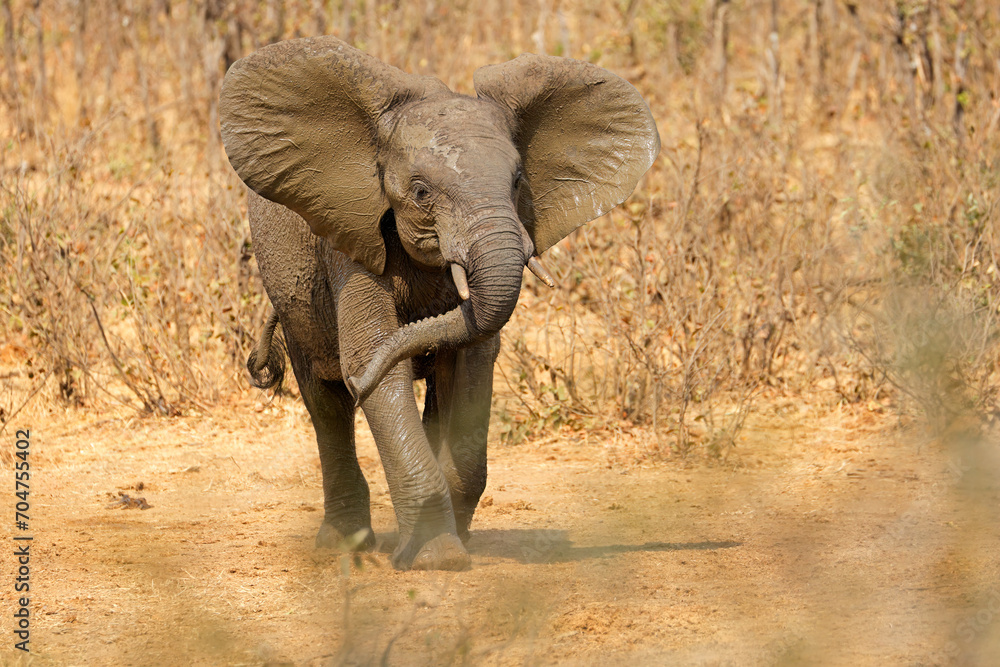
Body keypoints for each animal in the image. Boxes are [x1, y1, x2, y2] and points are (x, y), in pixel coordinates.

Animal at [218, 34, 656, 572]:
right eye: (421, 191)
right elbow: (372, 359)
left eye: (517, 182)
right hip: (292, 294)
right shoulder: (351, 244)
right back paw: (346, 545)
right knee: (327, 403)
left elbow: (474, 360)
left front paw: (451, 543)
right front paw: (436, 558)